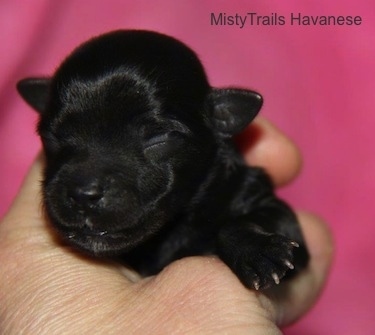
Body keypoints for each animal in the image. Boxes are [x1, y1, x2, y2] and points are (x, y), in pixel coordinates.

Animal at [16, 30, 308, 290]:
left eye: (158, 137)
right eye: (52, 136)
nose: (82, 194)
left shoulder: (258, 197)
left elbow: (240, 223)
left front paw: (258, 251)